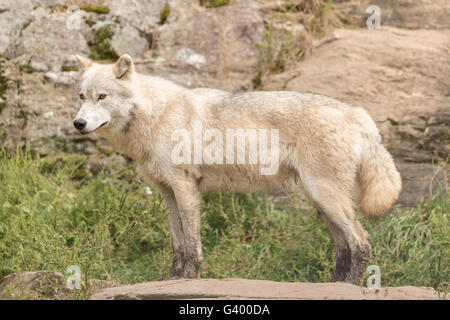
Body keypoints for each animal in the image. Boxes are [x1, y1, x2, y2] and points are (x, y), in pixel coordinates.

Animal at [73, 53, 400, 284]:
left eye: (102, 96)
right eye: (81, 97)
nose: (78, 123)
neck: (155, 115)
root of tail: (357, 112)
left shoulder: (185, 188)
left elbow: (191, 243)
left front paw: (188, 278)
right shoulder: (167, 193)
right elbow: (177, 242)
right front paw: (171, 278)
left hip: (326, 197)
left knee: (360, 241)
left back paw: (351, 286)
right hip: (321, 202)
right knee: (343, 246)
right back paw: (333, 286)